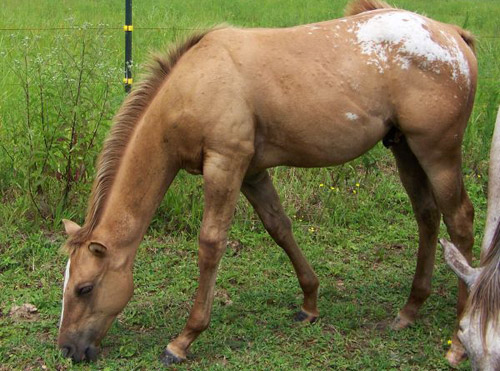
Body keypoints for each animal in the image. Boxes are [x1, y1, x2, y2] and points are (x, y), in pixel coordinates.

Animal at [56, 0, 478, 366]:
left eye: (84, 288)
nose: (67, 349)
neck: (193, 85)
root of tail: (451, 33)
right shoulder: (252, 173)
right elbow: (279, 227)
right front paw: (309, 303)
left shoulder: (225, 164)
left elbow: (211, 244)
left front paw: (183, 340)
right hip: (405, 150)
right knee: (427, 217)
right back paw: (410, 309)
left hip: (437, 153)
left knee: (460, 221)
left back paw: (460, 338)